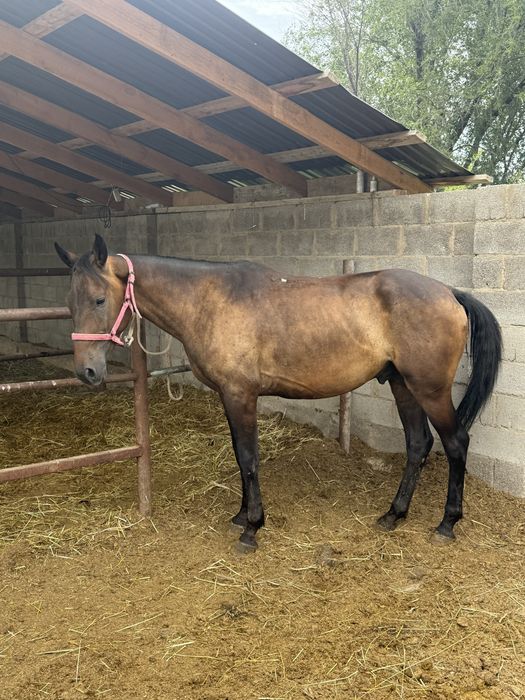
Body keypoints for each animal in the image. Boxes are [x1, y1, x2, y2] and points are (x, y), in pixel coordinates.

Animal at [55, 234, 501, 552]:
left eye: (100, 299)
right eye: (69, 305)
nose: (87, 372)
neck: (210, 300)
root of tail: (449, 292)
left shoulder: (241, 395)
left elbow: (249, 457)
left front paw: (252, 527)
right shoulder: (229, 396)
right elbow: (240, 457)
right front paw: (240, 516)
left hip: (429, 389)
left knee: (455, 442)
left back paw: (446, 523)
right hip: (402, 385)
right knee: (418, 444)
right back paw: (393, 514)